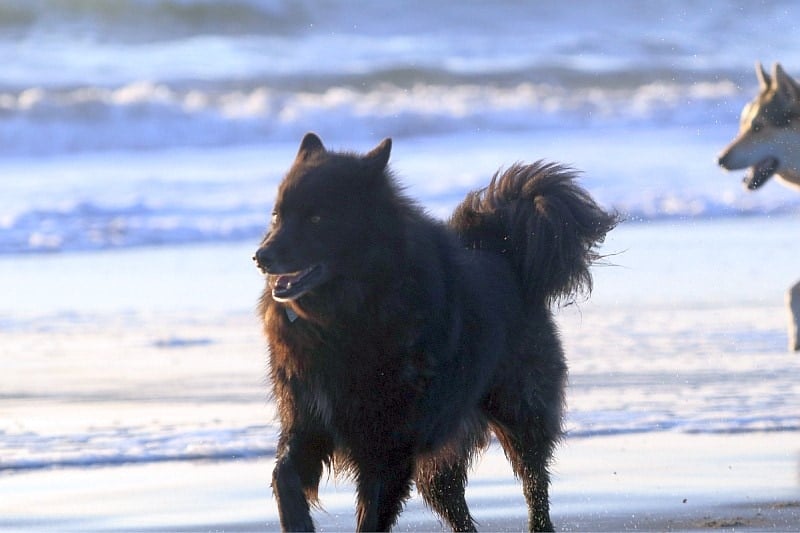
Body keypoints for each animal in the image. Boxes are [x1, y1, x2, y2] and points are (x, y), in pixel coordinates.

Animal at [253, 132, 616, 528]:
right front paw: (297, 521)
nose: (261, 256)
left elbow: (371, 514)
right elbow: (283, 475)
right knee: (457, 508)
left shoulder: (388, 447)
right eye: (277, 215)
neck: (342, 317)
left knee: (535, 485)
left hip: (520, 415)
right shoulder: (307, 422)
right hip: (442, 463)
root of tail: (503, 252)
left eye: (317, 217)